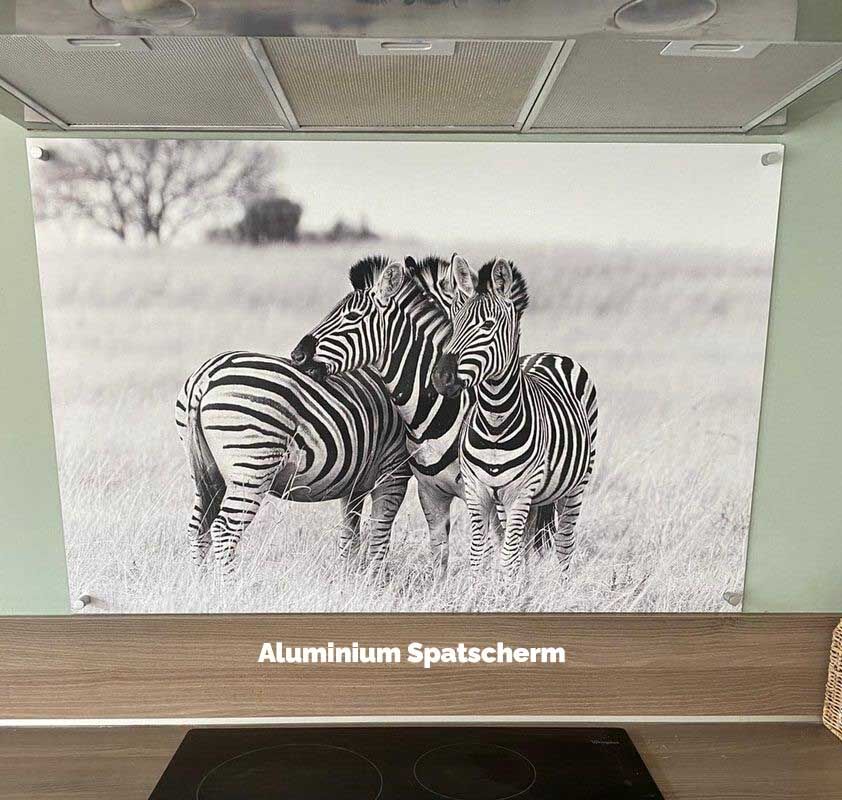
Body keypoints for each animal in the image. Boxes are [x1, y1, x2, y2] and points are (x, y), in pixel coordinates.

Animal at [175, 350, 410, 573]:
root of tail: (205, 375)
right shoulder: (394, 468)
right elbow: (380, 533)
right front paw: (374, 579)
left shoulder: (356, 482)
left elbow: (350, 533)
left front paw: (349, 576)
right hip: (252, 467)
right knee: (223, 531)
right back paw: (228, 585)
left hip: (207, 472)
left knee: (198, 528)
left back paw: (201, 581)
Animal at [431, 255, 597, 576]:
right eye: (454, 322)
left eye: (488, 325)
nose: (442, 378)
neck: (495, 420)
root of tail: (550, 354)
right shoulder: (478, 492)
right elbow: (480, 555)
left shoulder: (519, 493)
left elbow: (508, 558)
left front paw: (507, 587)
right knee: (528, 544)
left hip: (575, 487)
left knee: (564, 545)